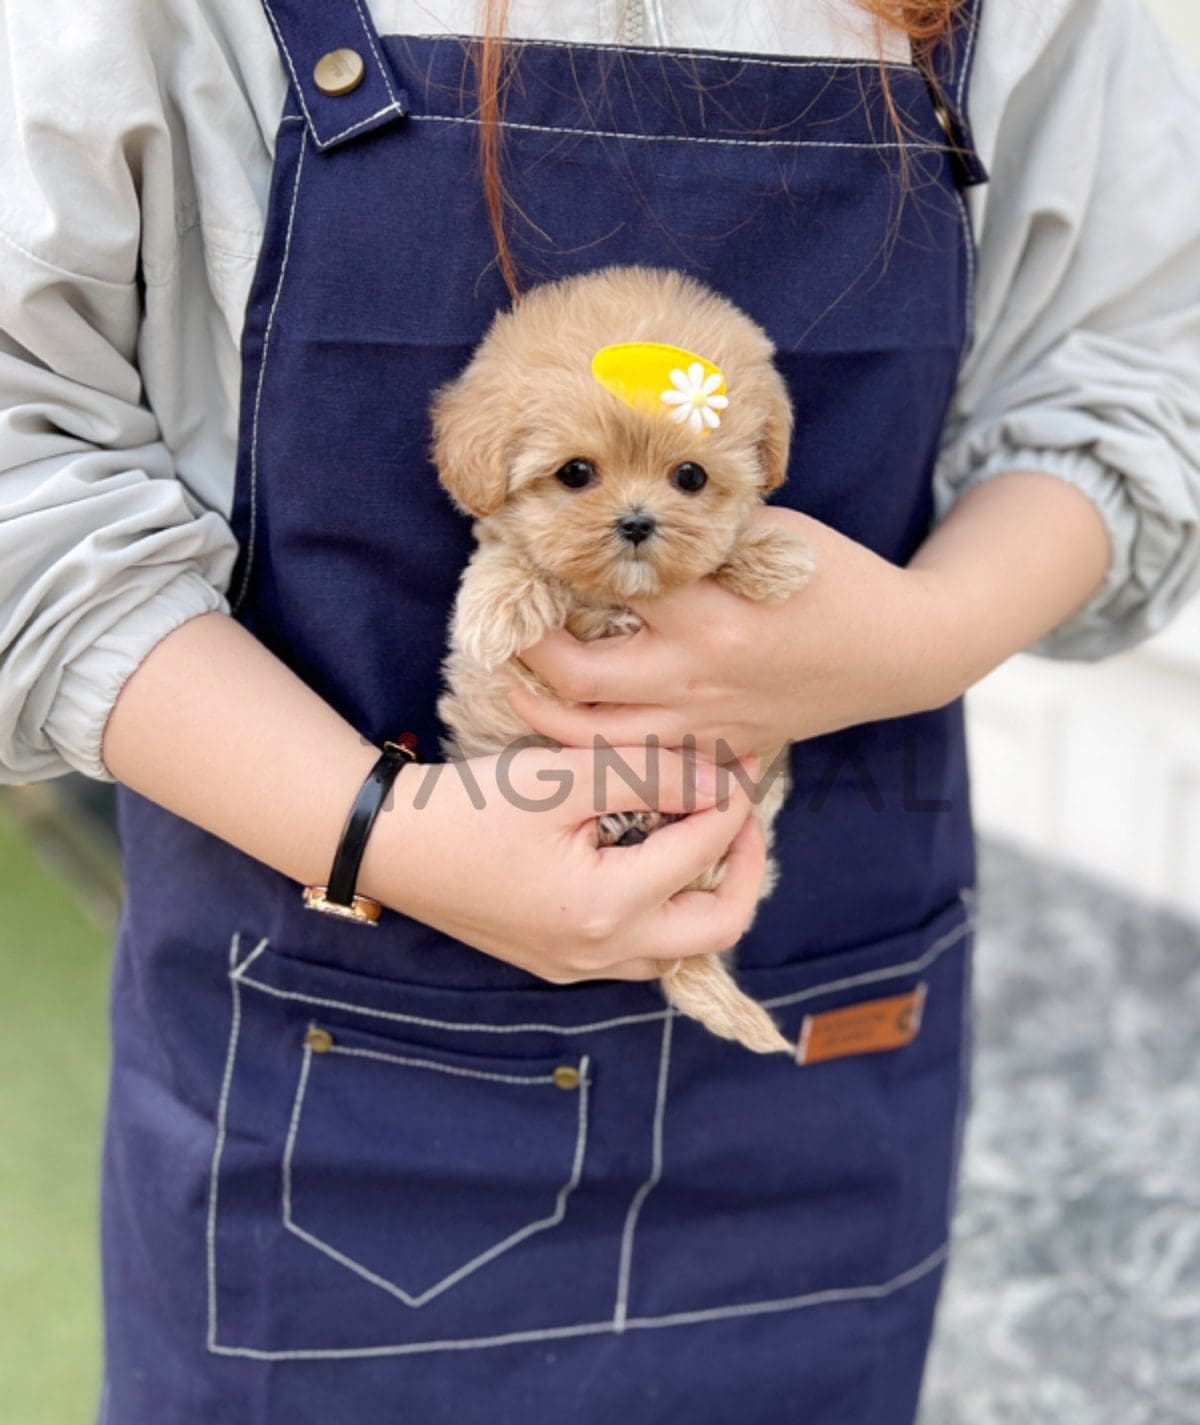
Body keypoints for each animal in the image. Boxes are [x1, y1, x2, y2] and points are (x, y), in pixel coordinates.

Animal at [430, 265, 814, 1054]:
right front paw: (501, 602)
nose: (637, 522)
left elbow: (730, 543)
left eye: (691, 476)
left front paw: (770, 553)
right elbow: (510, 558)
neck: (618, 597)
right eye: (576, 473)